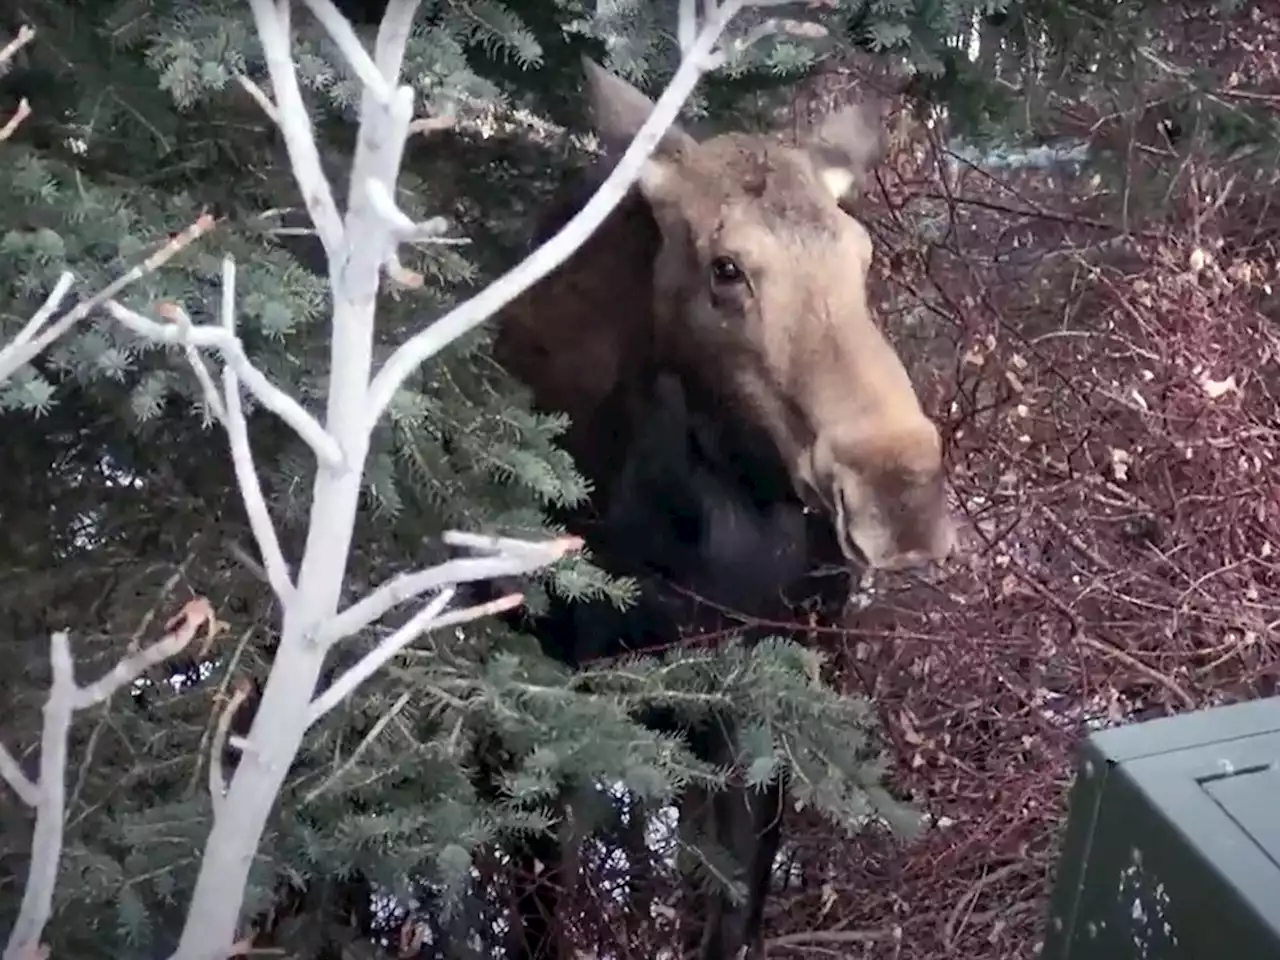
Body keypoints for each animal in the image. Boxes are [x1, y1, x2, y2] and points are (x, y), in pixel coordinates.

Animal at [481, 60, 962, 960]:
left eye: (862, 255)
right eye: (726, 267)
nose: (900, 496)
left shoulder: (759, 709)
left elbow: (732, 915)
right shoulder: (539, 705)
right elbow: (538, 919)